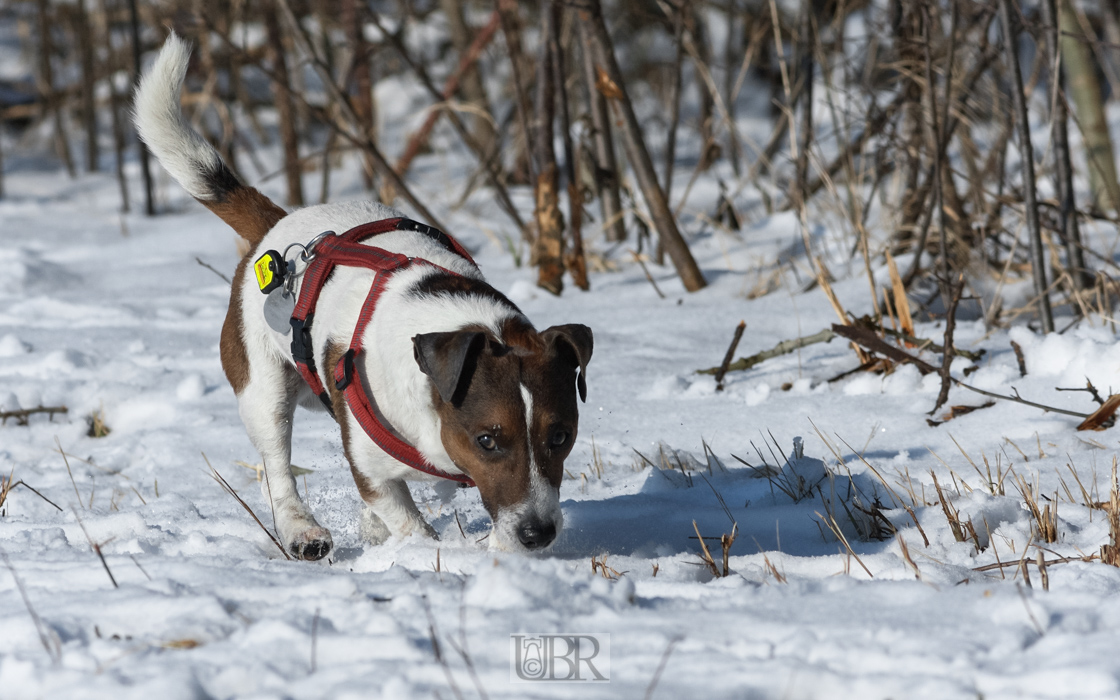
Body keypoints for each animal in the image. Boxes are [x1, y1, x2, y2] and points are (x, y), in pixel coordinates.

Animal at [134, 35, 591, 560]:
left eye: (561, 435)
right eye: (487, 440)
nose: (538, 534)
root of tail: (280, 226)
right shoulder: (373, 473)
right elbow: (406, 521)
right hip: (261, 387)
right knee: (276, 467)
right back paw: (301, 529)